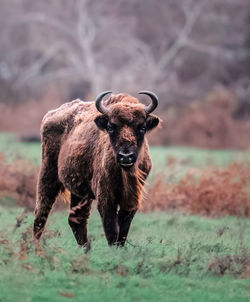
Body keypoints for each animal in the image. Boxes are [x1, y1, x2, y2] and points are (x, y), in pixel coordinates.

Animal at [33, 91, 160, 247]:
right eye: (111, 127)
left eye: (142, 128)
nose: (126, 156)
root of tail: (50, 115)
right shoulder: (105, 199)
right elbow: (112, 232)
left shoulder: (131, 199)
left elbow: (122, 232)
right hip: (48, 175)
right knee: (41, 214)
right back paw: (34, 248)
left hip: (80, 192)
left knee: (77, 220)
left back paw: (86, 249)